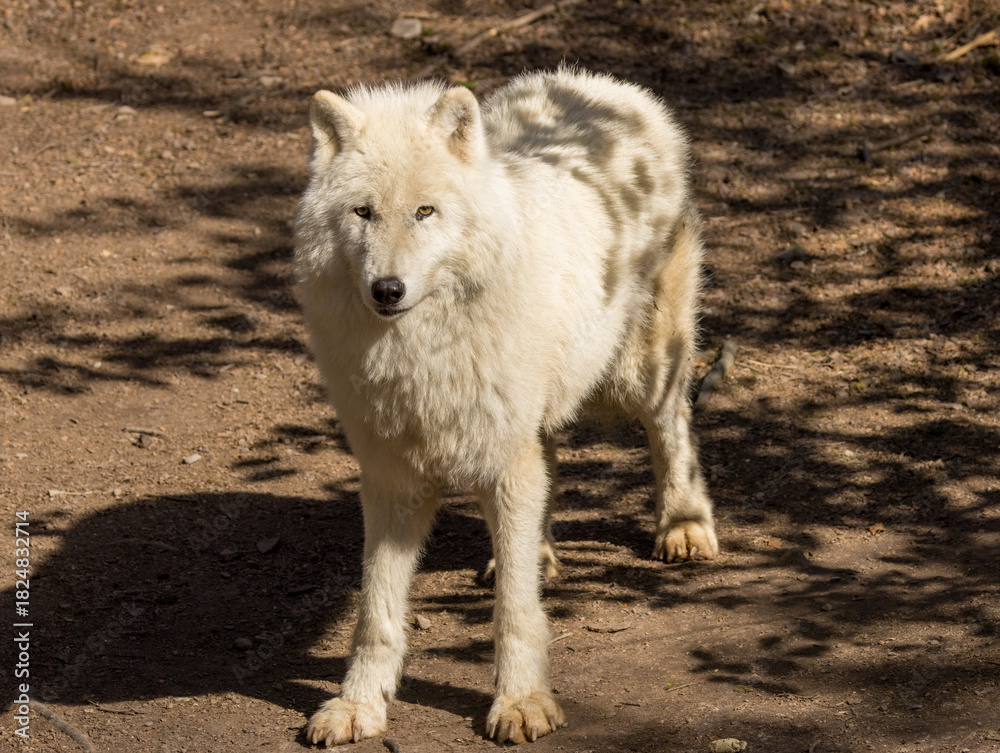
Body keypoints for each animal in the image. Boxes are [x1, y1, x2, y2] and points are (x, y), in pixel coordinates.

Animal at [294, 67, 719, 746]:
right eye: (363, 212)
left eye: (425, 211)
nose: (387, 289)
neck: (421, 353)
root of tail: (596, 83)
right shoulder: (391, 479)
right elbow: (375, 613)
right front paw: (358, 706)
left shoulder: (503, 463)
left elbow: (515, 613)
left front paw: (521, 702)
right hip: (532, 418)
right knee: (546, 481)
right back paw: (536, 554)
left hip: (637, 373)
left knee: (672, 424)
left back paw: (683, 525)